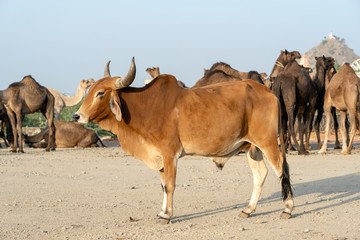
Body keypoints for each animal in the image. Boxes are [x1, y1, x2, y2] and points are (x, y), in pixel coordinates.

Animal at [72, 57, 292, 221]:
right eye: (90, 90)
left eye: (100, 93)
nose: (76, 116)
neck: (145, 107)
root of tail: (269, 92)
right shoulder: (159, 156)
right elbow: (163, 185)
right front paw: (162, 211)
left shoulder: (170, 153)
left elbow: (170, 184)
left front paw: (167, 215)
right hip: (251, 147)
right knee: (260, 174)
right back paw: (248, 209)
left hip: (268, 142)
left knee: (280, 169)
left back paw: (288, 209)